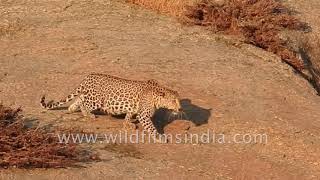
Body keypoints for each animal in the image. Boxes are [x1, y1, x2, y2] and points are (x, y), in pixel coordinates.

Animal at [39, 73, 182, 142]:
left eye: (178, 100)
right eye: (174, 101)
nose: (180, 109)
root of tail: (89, 76)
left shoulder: (134, 108)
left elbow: (129, 115)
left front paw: (127, 124)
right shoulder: (143, 115)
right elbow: (151, 128)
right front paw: (159, 137)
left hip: (89, 95)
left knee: (80, 99)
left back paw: (72, 108)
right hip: (96, 100)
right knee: (84, 104)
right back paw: (88, 115)